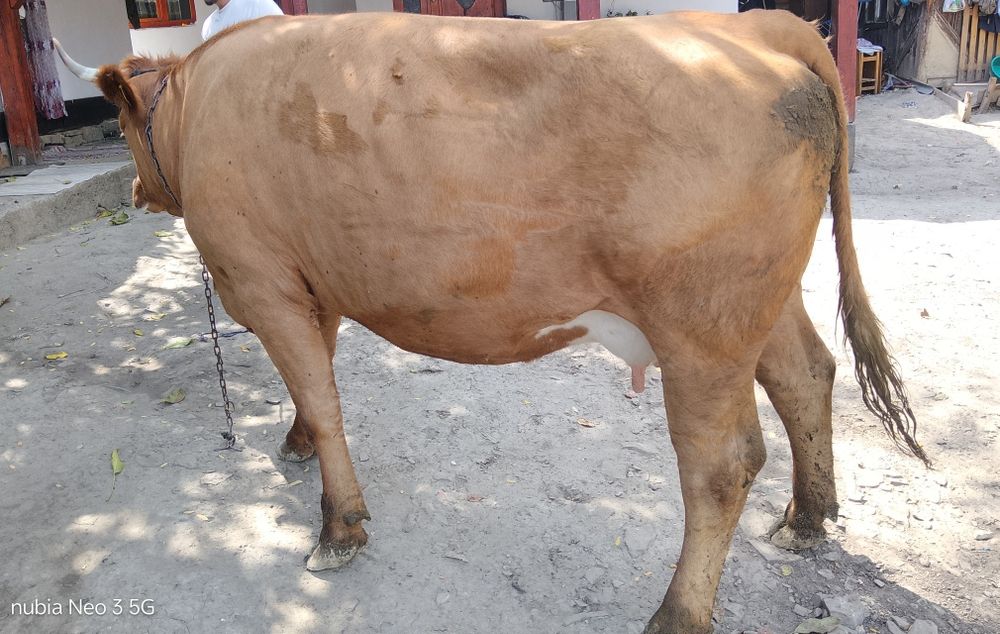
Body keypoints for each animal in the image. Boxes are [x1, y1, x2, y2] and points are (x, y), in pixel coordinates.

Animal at [55, 10, 927, 633]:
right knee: (805, 375)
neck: (198, 102)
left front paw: (339, 528)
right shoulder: (311, 281)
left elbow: (325, 400)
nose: (133, 189)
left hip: (702, 328)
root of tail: (759, 31)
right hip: (761, 304)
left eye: (123, 126)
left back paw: (678, 613)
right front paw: (298, 444)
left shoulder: (261, 282)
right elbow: (313, 386)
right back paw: (806, 519)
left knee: (721, 466)